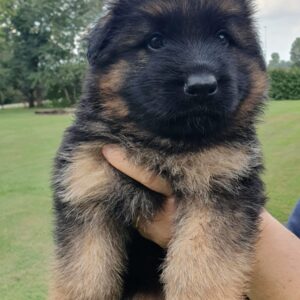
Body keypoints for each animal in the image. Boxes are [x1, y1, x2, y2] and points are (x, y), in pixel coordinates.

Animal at [51, 0, 268, 298]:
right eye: (155, 41)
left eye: (223, 38)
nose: (202, 86)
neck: (161, 146)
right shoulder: (87, 193)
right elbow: (85, 278)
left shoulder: (221, 188)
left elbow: (202, 270)